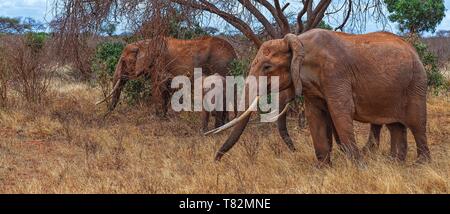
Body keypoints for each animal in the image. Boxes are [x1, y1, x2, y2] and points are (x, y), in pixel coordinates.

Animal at [209, 28, 430, 166]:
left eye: (267, 67)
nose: (216, 161)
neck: (299, 42)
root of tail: (413, 50)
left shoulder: (335, 73)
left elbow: (341, 112)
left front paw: (359, 167)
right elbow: (315, 117)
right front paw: (322, 168)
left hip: (416, 82)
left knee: (417, 123)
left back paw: (419, 165)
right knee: (396, 126)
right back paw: (395, 164)